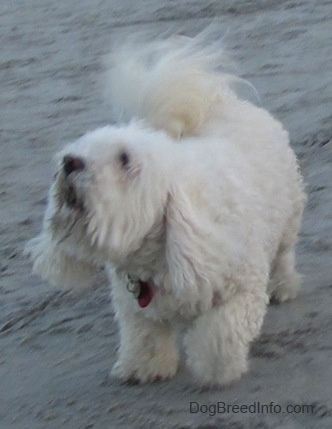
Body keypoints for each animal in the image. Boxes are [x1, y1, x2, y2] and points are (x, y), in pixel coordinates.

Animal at [26, 32, 306, 384]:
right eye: (81, 147)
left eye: (124, 159)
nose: (69, 162)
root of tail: (224, 102)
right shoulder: (135, 308)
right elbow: (145, 335)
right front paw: (144, 368)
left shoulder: (239, 285)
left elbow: (220, 334)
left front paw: (217, 370)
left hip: (287, 215)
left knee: (283, 255)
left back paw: (284, 286)